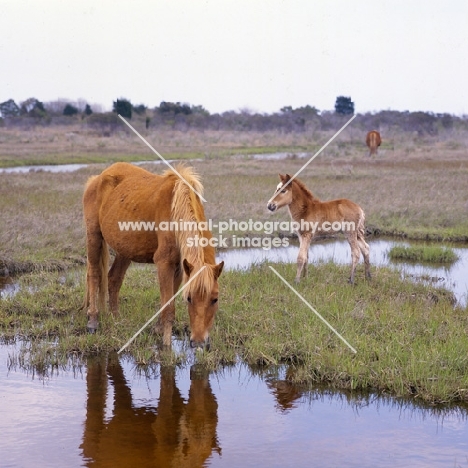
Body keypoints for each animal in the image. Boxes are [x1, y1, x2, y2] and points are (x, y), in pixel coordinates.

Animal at [83, 163, 224, 350]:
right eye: (188, 298)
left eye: (215, 299)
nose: (199, 342)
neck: (176, 209)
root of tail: (97, 178)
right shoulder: (164, 263)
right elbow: (168, 309)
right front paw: (166, 347)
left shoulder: (180, 267)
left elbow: (167, 300)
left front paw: (157, 330)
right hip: (94, 236)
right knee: (94, 274)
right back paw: (92, 320)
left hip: (125, 249)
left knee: (114, 278)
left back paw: (116, 317)